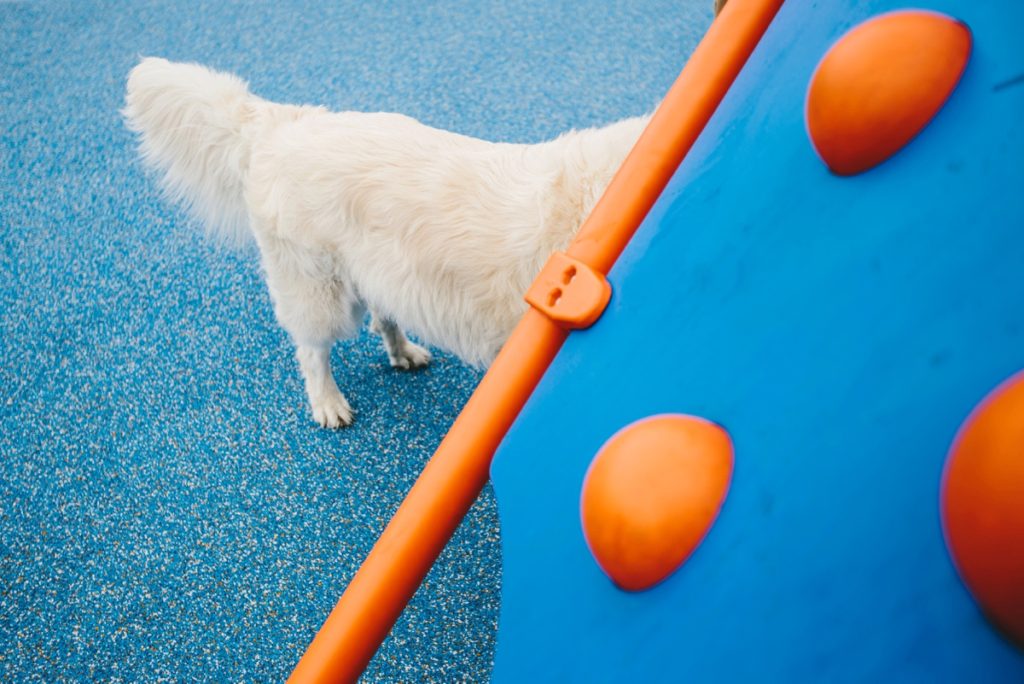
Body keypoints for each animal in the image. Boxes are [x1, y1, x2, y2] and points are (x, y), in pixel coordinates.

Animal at [125, 58, 647, 423]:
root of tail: (281, 123)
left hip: (381, 269)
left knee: (383, 315)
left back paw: (404, 353)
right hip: (319, 290)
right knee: (311, 350)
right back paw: (329, 404)